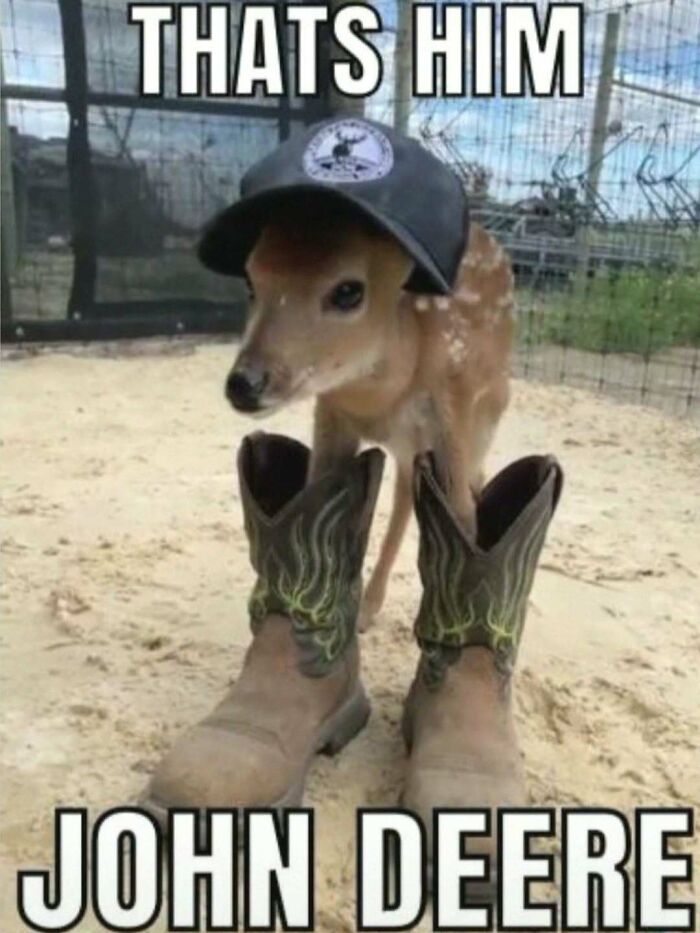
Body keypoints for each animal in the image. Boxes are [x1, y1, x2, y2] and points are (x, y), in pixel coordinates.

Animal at [224, 202, 514, 631]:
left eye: (348, 291)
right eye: (250, 280)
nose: (244, 382)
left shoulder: (455, 407)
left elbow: (462, 512)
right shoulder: (331, 411)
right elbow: (318, 492)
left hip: (487, 410)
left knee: (458, 480)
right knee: (407, 490)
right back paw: (367, 607)